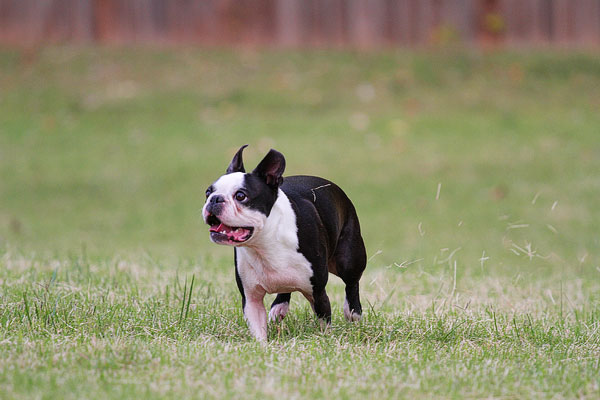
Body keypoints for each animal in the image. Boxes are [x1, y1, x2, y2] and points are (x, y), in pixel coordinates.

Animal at [203, 145, 366, 342]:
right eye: (208, 192)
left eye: (241, 196)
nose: (215, 199)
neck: (265, 243)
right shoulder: (251, 298)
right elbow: (258, 329)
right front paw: (262, 346)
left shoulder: (318, 292)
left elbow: (324, 321)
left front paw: (326, 339)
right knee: (286, 288)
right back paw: (279, 308)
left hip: (348, 260)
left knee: (352, 282)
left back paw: (353, 312)